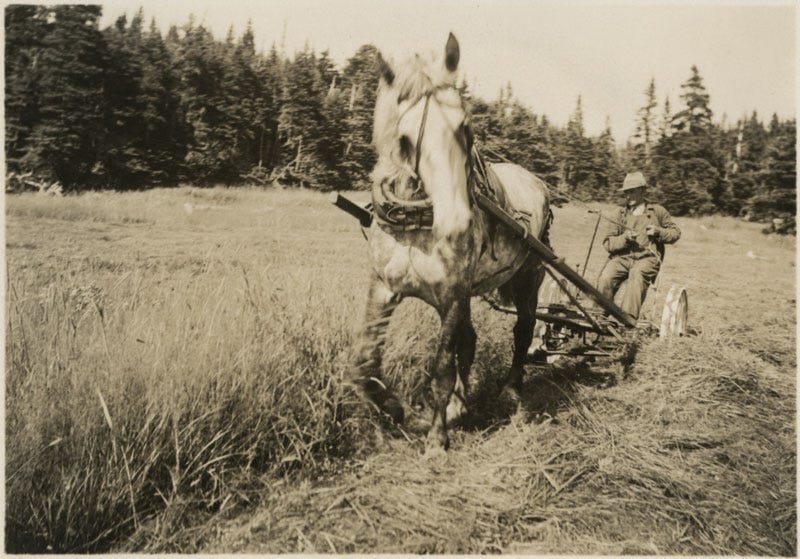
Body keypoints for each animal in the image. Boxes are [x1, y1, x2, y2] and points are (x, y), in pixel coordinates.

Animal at [348, 33, 551, 456]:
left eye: (466, 129)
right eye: (404, 140)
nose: (457, 220)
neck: (415, 223)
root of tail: (534, 179)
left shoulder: (452, 295)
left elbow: (442, 366)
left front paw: (437, 437)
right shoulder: (384, 287)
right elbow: (363, 362)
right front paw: (393, 408)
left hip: (529, 276)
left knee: (523, 330)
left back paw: (511, 389)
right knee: (470, 341)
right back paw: (462, 402)